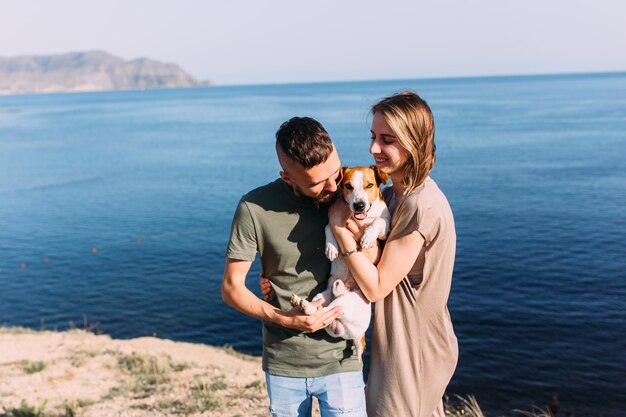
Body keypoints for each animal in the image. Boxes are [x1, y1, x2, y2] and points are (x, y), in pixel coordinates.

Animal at [290, 164, 388, 360]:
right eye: (348, 186)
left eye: (370, 185)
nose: (359, 205)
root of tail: (357, 335)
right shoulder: (332, 222)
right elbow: (329, 228)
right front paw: (331, 248)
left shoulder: (386, 227)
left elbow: (378, 221)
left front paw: (367, 238)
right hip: (325, 297)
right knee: (321, 311)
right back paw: (301, 303)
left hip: (343, 305)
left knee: (324, 313)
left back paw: (304, 305)